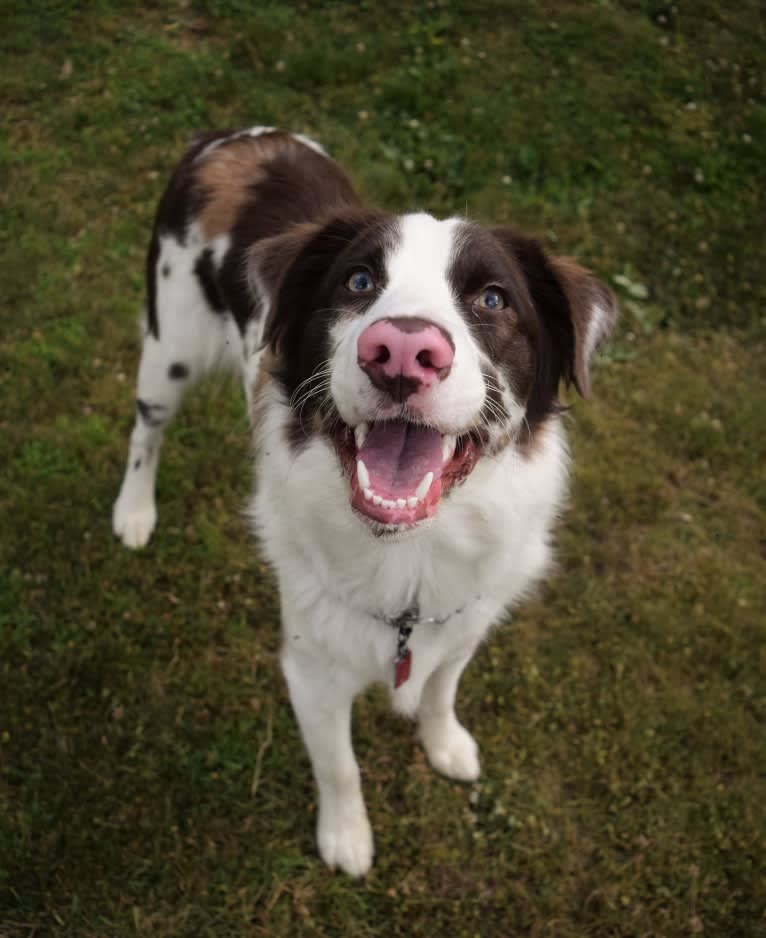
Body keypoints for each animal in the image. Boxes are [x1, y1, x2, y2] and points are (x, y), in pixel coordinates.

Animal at [112, 124, 616, 872]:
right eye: (358, 282)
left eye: (494, 299)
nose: (401, 352)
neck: (412, 555)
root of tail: (234, 135)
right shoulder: (310, 667)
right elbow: (339, 765)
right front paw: (346, 838)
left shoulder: (464, 622)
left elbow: (440, 689)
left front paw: (446, 746)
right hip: (170, 346)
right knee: (146, 427)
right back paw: (135, 511)